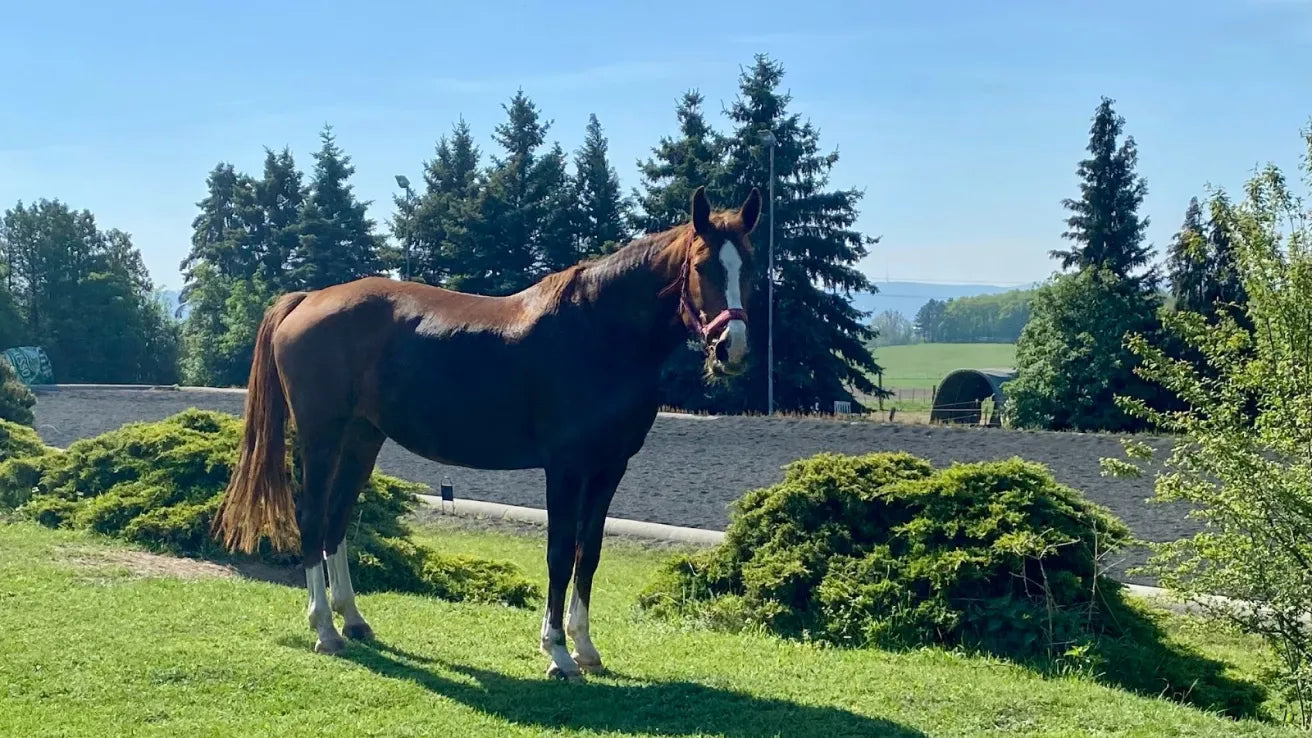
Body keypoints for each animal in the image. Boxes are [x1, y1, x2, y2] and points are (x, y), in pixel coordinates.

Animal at [212, 185, 762, 680]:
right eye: (703, 266)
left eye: (749, 267)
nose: (731, 348)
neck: (597, 332)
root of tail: (308, 299)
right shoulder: (565, 467)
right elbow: (559, 554)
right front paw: (557, 654)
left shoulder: (610, 467)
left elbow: (588, 554)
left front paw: (585, 648)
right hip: (321, 436)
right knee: (310, 518)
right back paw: (325, 629)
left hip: (362, 439)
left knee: (337, 521)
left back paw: (353, 620)